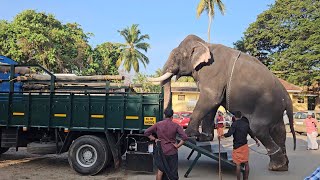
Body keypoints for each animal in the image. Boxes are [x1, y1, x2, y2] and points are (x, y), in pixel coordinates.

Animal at [149, 34, 296, 171]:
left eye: (177, 55)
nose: (169, 113)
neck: (205, 44)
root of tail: (287, 96)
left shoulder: (213, 72)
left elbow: (210, 98)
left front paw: (189, 135)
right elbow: (212, 104)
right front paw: (203, 138)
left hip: (266, 105)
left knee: (259, 129)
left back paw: (276, 166)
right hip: (275, 109)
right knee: (279, 131)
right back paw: (283, 166)